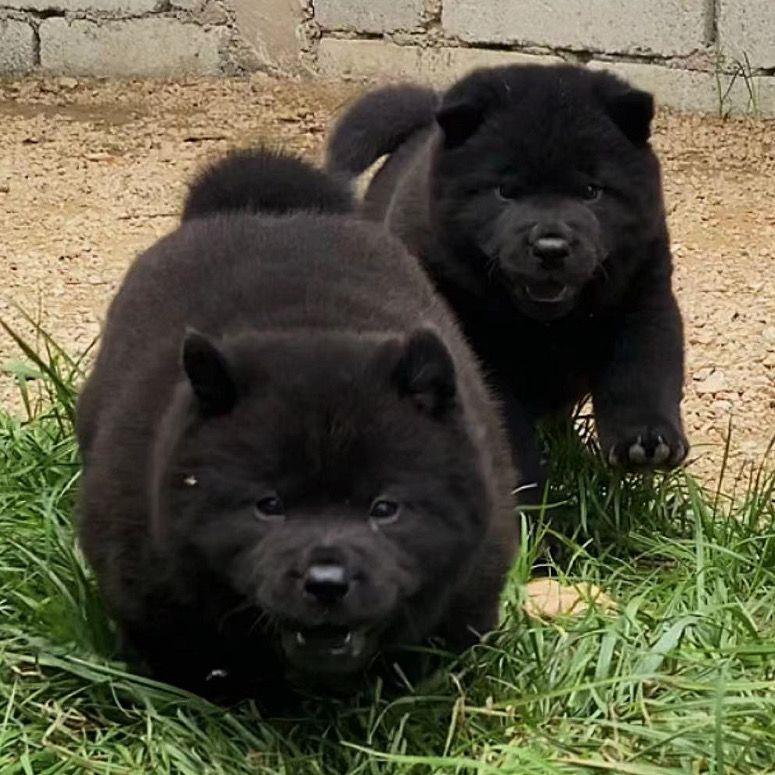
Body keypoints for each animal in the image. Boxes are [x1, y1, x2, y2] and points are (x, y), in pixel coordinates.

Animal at [77, 149, 516, 708]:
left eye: (385, 509)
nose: (326, 581)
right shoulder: (146, 591)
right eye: (269, 506)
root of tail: (266, 213)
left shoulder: (475, 578)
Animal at [328, 65, 692, 492]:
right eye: (505, 191)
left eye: (591, 190)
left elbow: (642, 372)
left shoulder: (642, 294)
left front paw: (647, 441)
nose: (551, 246)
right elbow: (503, 423)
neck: (546, 325)